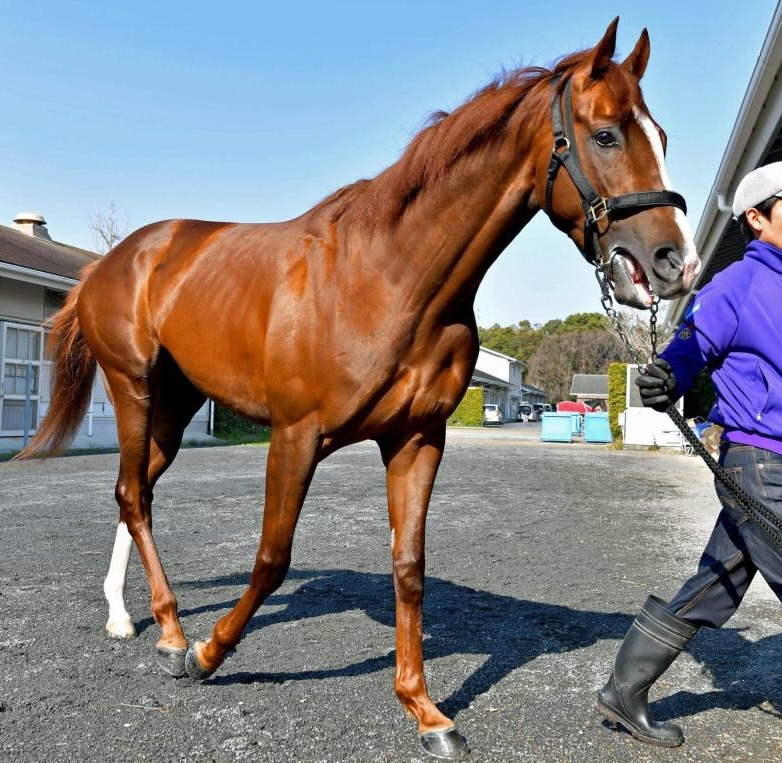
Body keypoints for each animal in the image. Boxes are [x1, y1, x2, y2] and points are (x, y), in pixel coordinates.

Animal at [18, 19, 700, 763]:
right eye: (605, 135)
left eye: (664, 137)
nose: (677, 262)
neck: (387, 277)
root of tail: (113, 262)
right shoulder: (295, 436)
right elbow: (271, 558)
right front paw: (207, 654)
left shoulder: (416, 438)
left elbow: (408, 564)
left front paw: (425, 710)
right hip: (134, 389)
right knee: (134, 495)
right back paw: (170, 634)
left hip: (176, 405)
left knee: (132, 490)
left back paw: (127, 616)